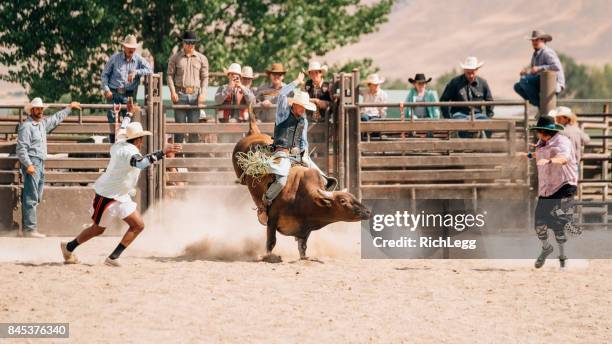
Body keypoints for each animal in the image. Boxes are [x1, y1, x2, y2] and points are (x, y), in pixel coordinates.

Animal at [232, 115, 370, 260]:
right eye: (343, 201)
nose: (368, 212)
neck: (302, 198)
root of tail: (255, 133)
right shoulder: (273, 219)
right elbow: (271, 242)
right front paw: (269, 257)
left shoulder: (305, 230)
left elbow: (302, 247)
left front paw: (305, 257)